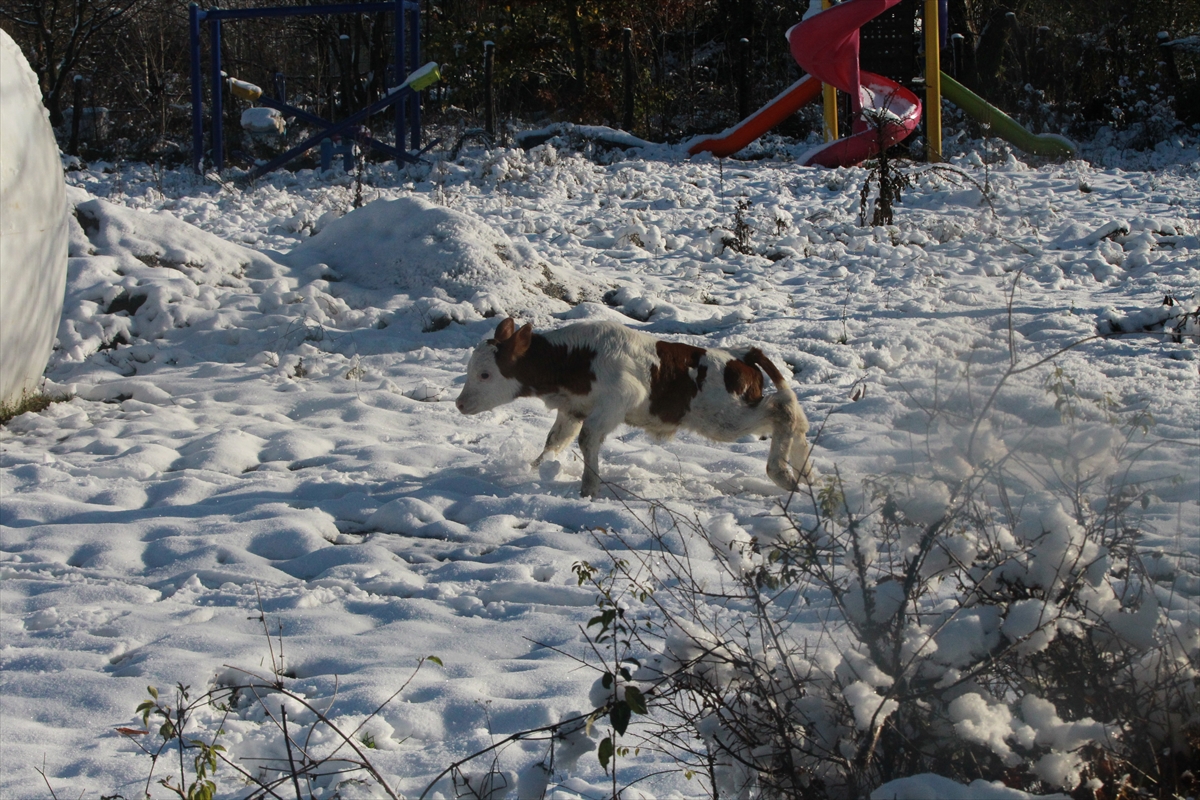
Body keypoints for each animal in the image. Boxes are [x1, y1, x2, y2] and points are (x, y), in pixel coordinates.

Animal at [453, 316, 811, 494]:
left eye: (484, 374)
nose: (459, 403)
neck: (573, 358)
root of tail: (742, 356)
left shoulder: (620, 398)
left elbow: (587, 439)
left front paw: (589, 489)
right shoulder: (573, 407)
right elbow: (555, 440)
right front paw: (534, 469)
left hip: (724, 417)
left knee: (783, 409)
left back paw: (783, 473)